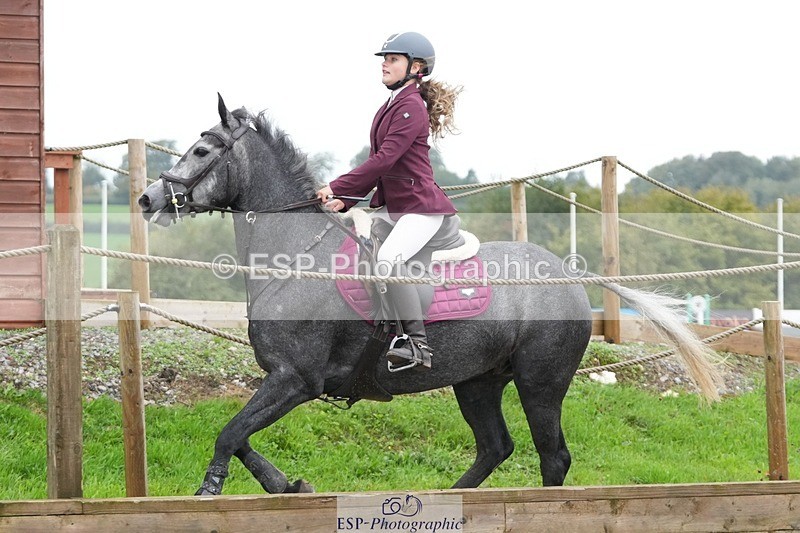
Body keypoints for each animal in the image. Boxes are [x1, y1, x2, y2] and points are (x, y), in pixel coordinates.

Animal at [138, 94, 722, 495]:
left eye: (202, 149)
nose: (147, 199)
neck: (296, 256)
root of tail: (568, 276)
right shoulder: (283, 380)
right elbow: (241, 437)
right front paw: (288, 485)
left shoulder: (296, 379)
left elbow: (228, 434)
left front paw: (211, 488)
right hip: (477, 382)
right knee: (495, 447)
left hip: (542, 382)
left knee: (552, 456)